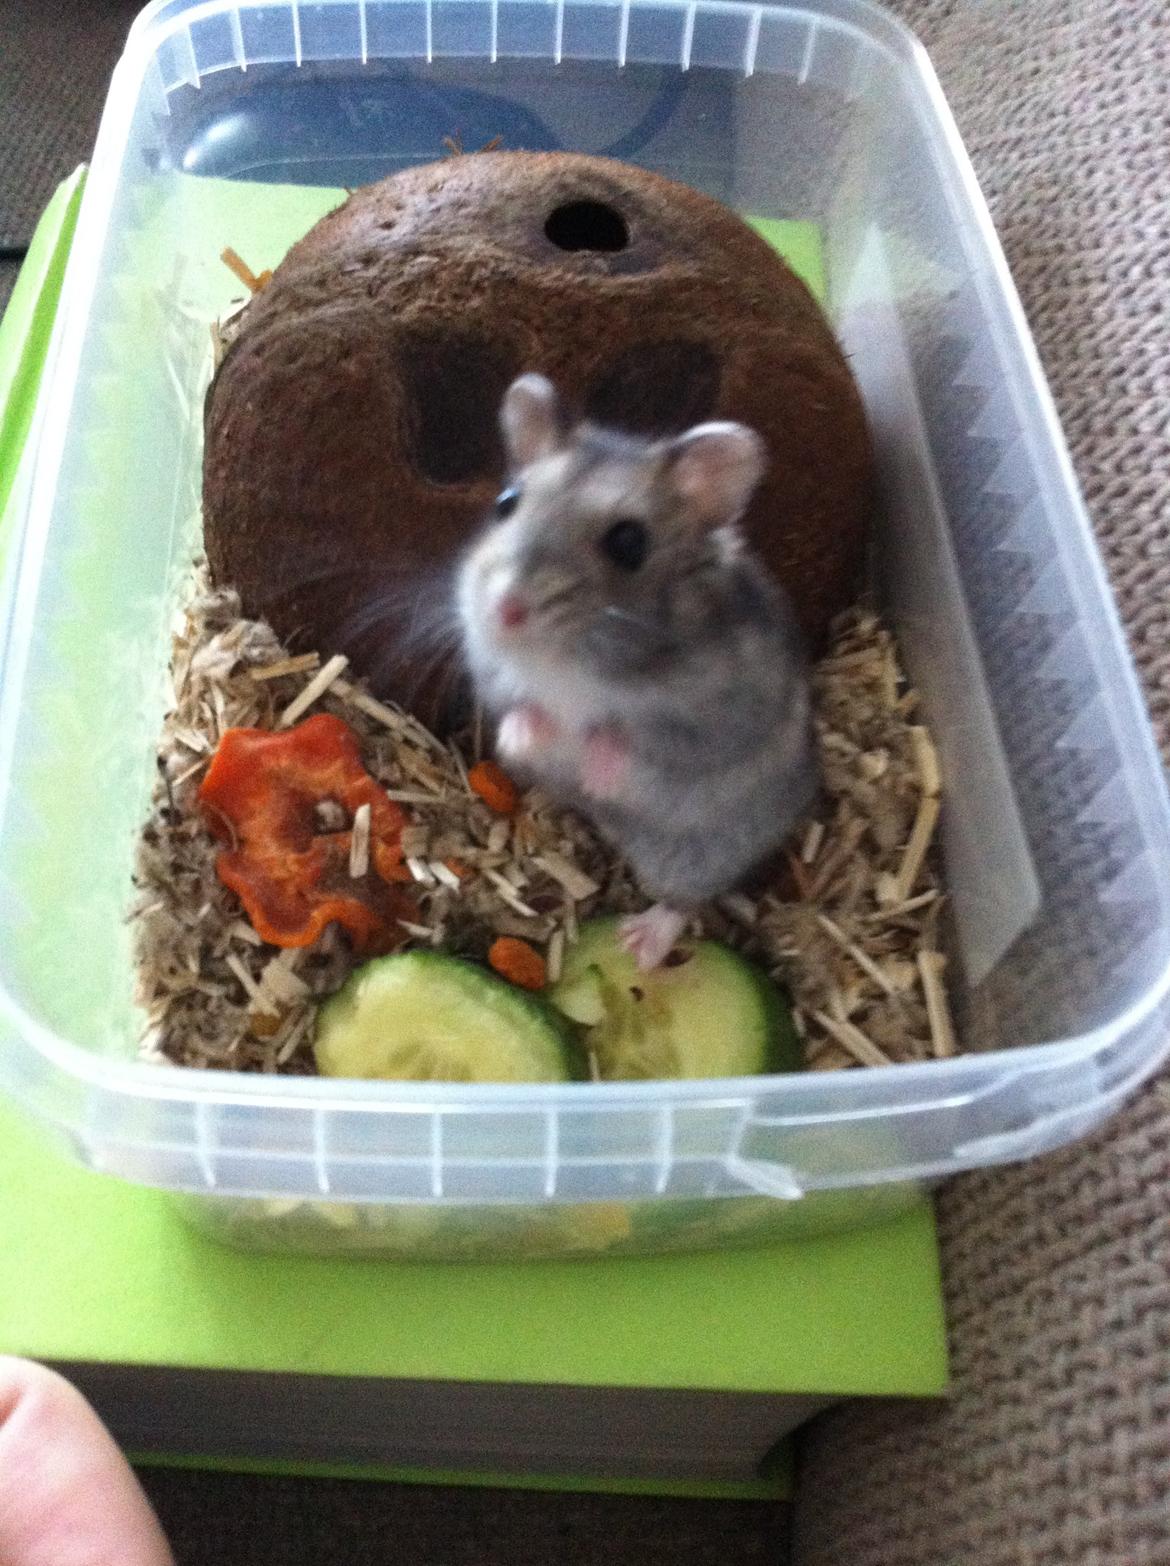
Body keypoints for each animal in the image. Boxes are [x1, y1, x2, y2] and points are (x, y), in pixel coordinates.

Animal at [457, 373, 818, 970]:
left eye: (629, 542)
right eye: (506, 503)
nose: (504, 612)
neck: (566, 661)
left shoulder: (716, 718)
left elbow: (636, 738)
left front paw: (597, 769)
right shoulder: (495, 676)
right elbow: (521, 709)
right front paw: (523, 739)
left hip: (696, 854)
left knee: (684, 900)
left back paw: (639, 946)